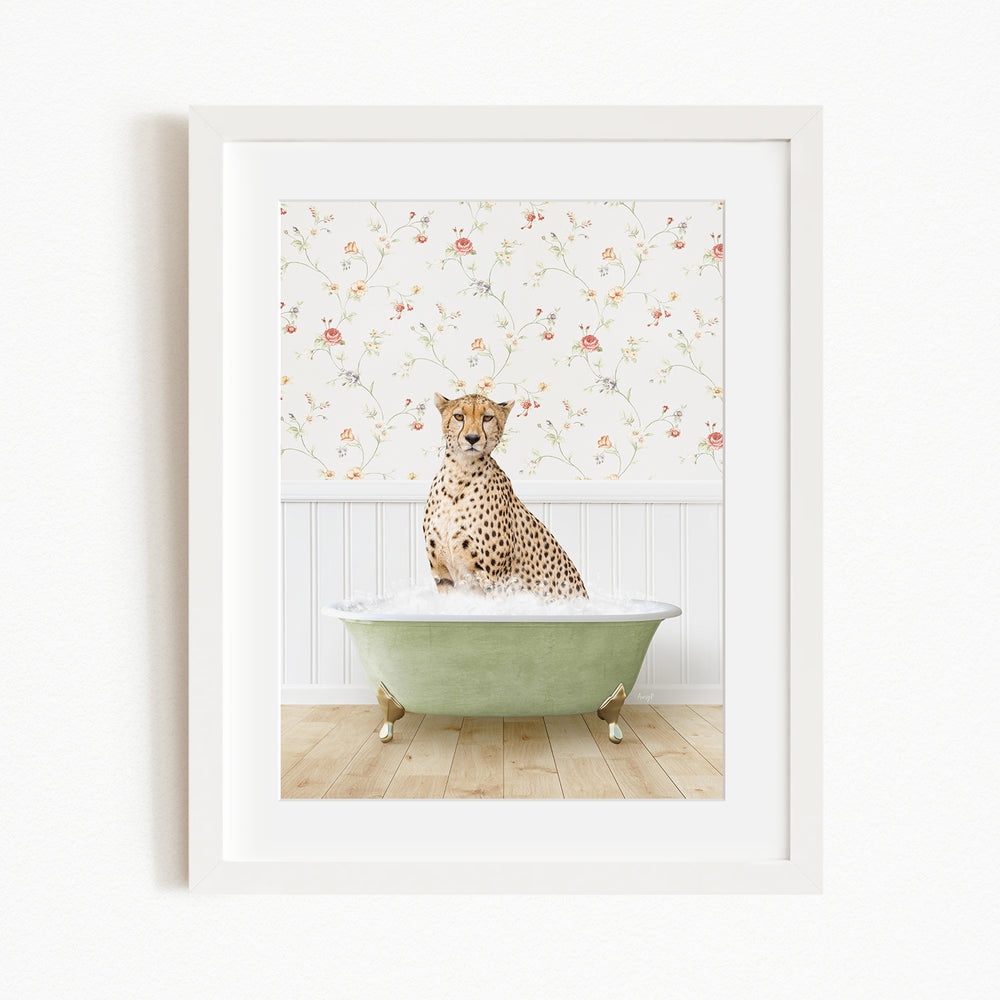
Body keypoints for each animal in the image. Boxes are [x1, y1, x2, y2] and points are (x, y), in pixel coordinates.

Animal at [422, 391, 588, 599]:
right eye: (459, 416)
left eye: (487, 418)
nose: (472, 438)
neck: (460, 474)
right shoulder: (442, 574)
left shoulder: (496, 579)